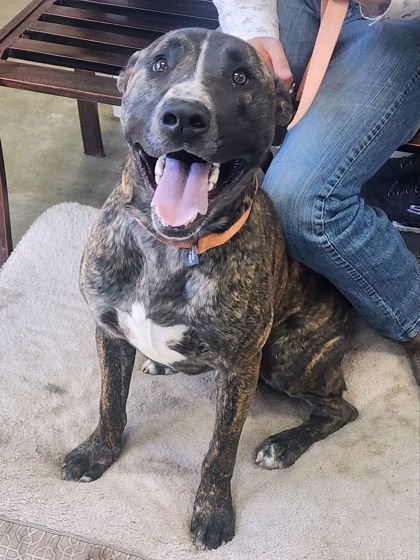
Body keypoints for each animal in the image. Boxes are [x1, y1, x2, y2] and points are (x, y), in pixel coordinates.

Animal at [62, 29, 358, 552]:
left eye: (241, 76)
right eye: (160, 64)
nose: (184, 116)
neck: (169, 251)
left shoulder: (240, 367)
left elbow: (221, 448)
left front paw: (213, 513)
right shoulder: (110, 332)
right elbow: (110, 403)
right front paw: (98, 452)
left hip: (284, 357)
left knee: (341, 408)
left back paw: (283, 445)